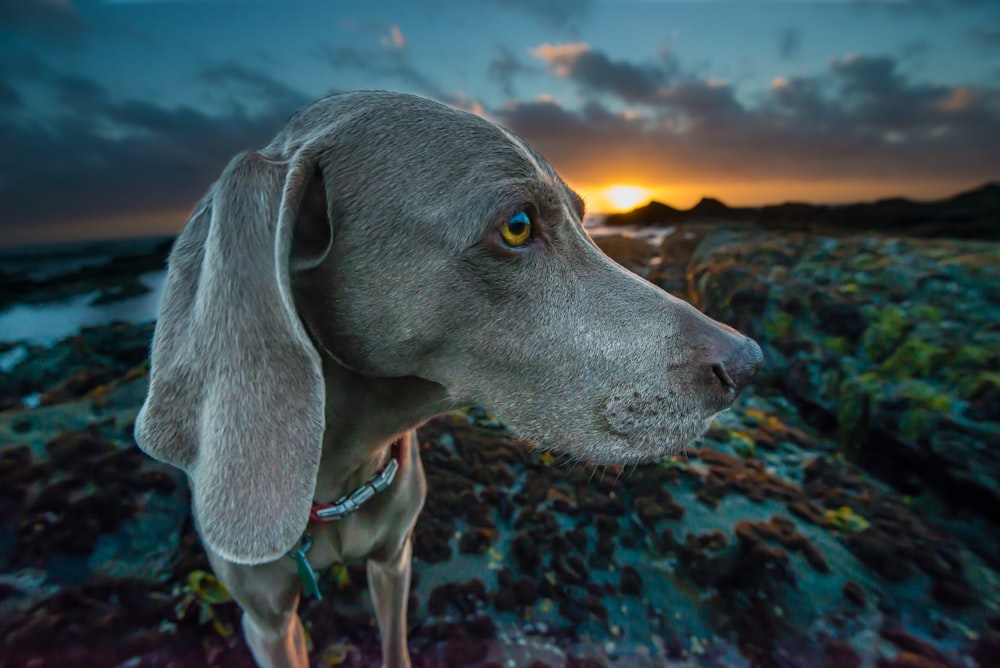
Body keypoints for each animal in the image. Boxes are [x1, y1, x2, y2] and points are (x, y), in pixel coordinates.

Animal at [133, 90, 756, 668]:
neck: (339, 483)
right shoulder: (267, 622)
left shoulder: (395, 560)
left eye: (584, 219)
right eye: (517, 226)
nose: (748, 361)